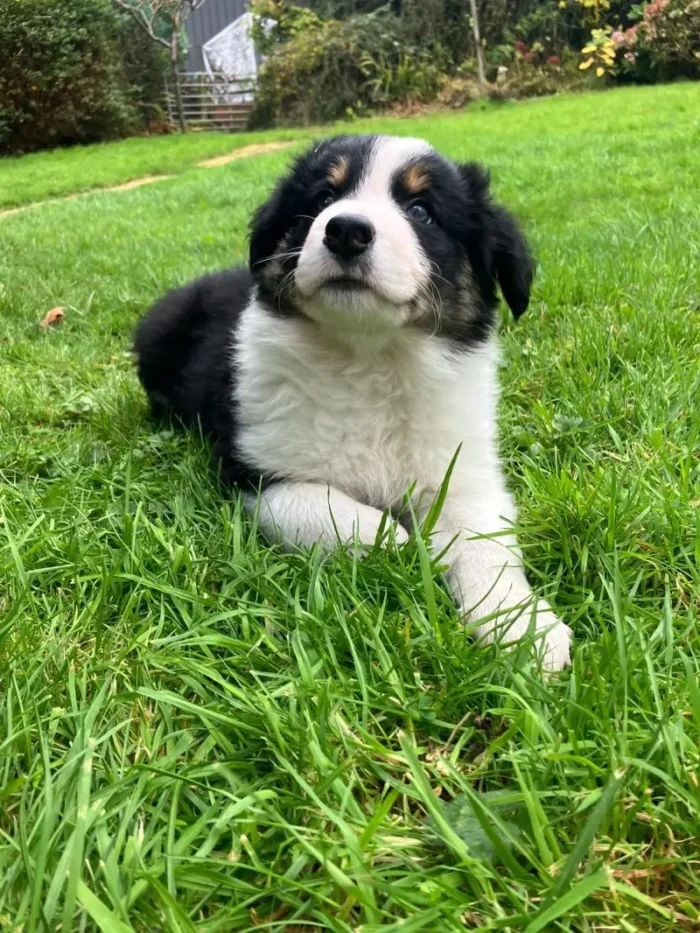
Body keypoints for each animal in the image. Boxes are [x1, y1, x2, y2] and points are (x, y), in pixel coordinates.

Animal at [135, 133, 576, 668]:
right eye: (325, 197)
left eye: (422, 210)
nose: (345, 230)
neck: (368, 358)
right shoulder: (256, 472)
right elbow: (333, 511)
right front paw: (398, 545)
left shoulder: (460, 469)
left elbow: (485, 542)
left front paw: (523, 627)